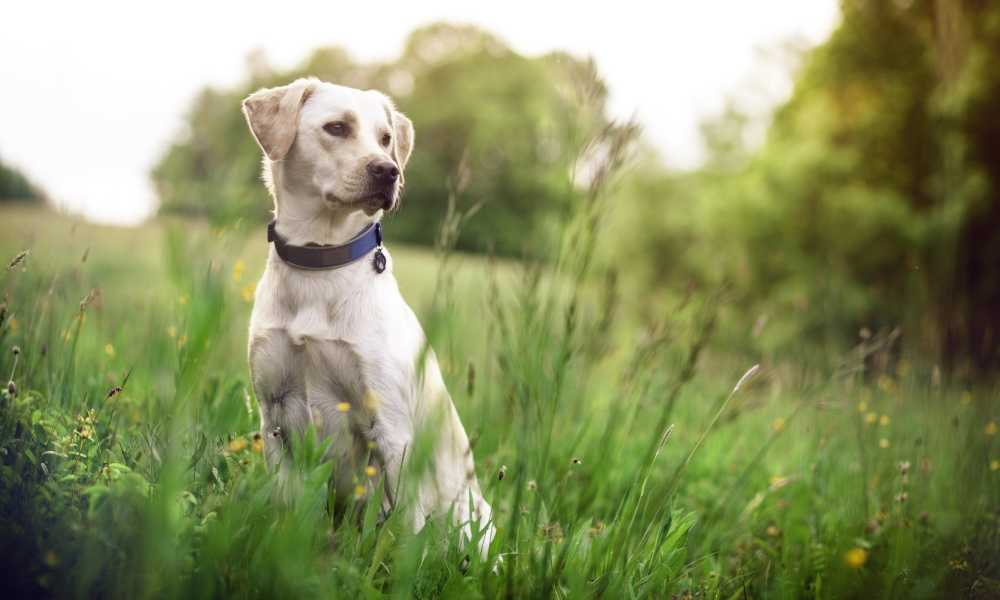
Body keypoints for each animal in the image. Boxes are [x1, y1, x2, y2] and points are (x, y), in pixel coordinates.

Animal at [239, 77, 496, 556]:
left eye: (386, 138)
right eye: (337, 127)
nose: (388, 171)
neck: (320, 261)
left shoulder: (392, 431)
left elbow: (403, 530)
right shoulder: (275, 415)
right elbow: (286, 503)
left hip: (474, 521)